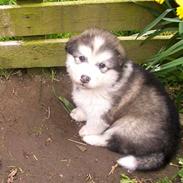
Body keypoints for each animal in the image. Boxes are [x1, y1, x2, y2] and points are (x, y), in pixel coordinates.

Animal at [64, 27, 180, 171]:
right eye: (81, 58)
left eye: (102, 65)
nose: (84, 78)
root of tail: (169, 147)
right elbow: (85, 107)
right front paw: (79, 113)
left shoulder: (103, 111)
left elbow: (95, 123)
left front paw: (87, 130)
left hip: (128, 125)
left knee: (112, 141)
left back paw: (91, 138)